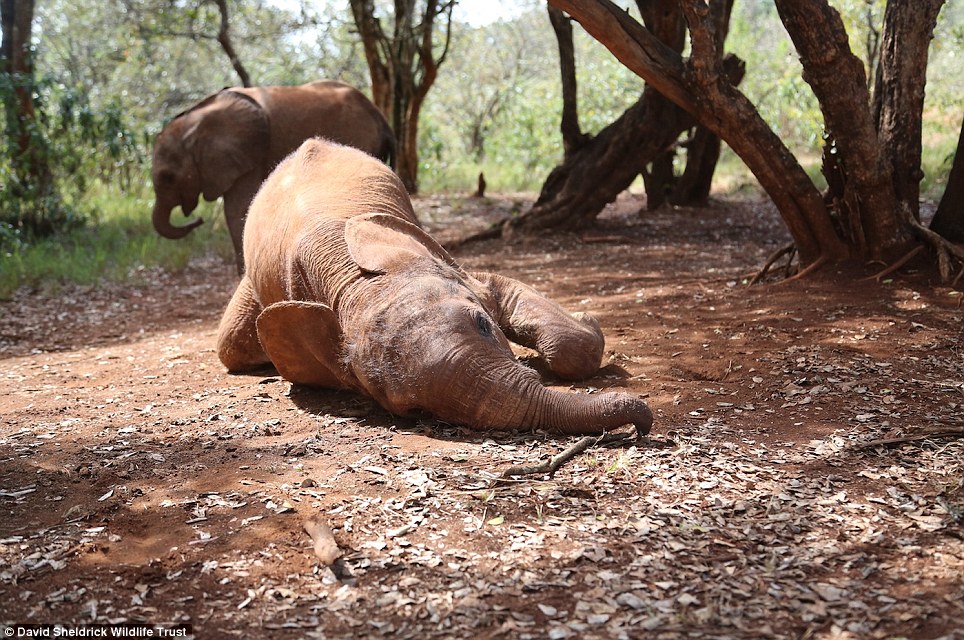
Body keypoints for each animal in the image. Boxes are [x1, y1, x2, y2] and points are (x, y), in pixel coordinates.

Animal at [151, 80, 392, 272]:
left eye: (168, 177)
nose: (199, 219)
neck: (193, 120)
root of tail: (379, 115)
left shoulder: (249, 152)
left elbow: (237, 209)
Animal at [217, 139, 656, 436]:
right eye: (414, 411)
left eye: (483, 325)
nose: (640, 423)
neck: (347, 276)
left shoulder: (441, 258)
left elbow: (506, 292)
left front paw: (586, 322)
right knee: (231, 348)